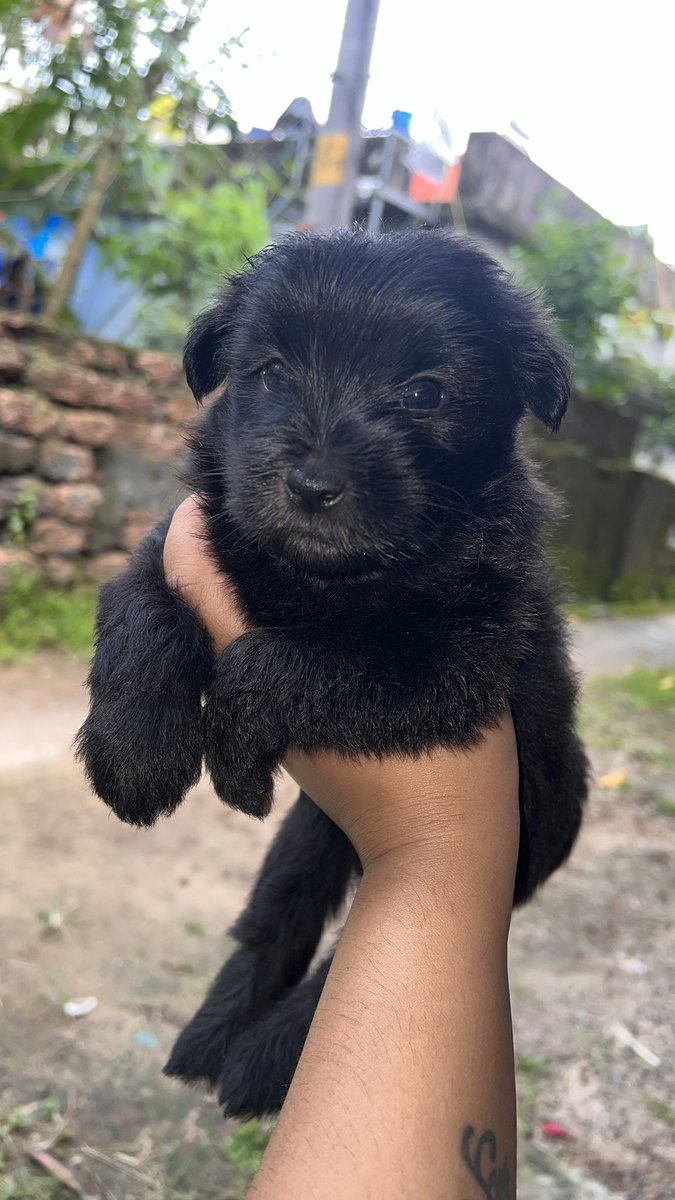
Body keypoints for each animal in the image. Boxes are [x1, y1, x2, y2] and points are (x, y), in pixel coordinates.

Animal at [76, 229, 586, 1118]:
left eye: (424, 393)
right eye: (272, 371)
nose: (313, 486)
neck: (317, 580)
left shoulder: (455, 663)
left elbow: (274, 660)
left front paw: (236, 765)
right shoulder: (183, 539)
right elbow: (143, 605)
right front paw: (133, 756)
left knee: (330, 967)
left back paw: (259, 1058)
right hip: (305, 839)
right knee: (276, 921)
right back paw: (212, 1036)